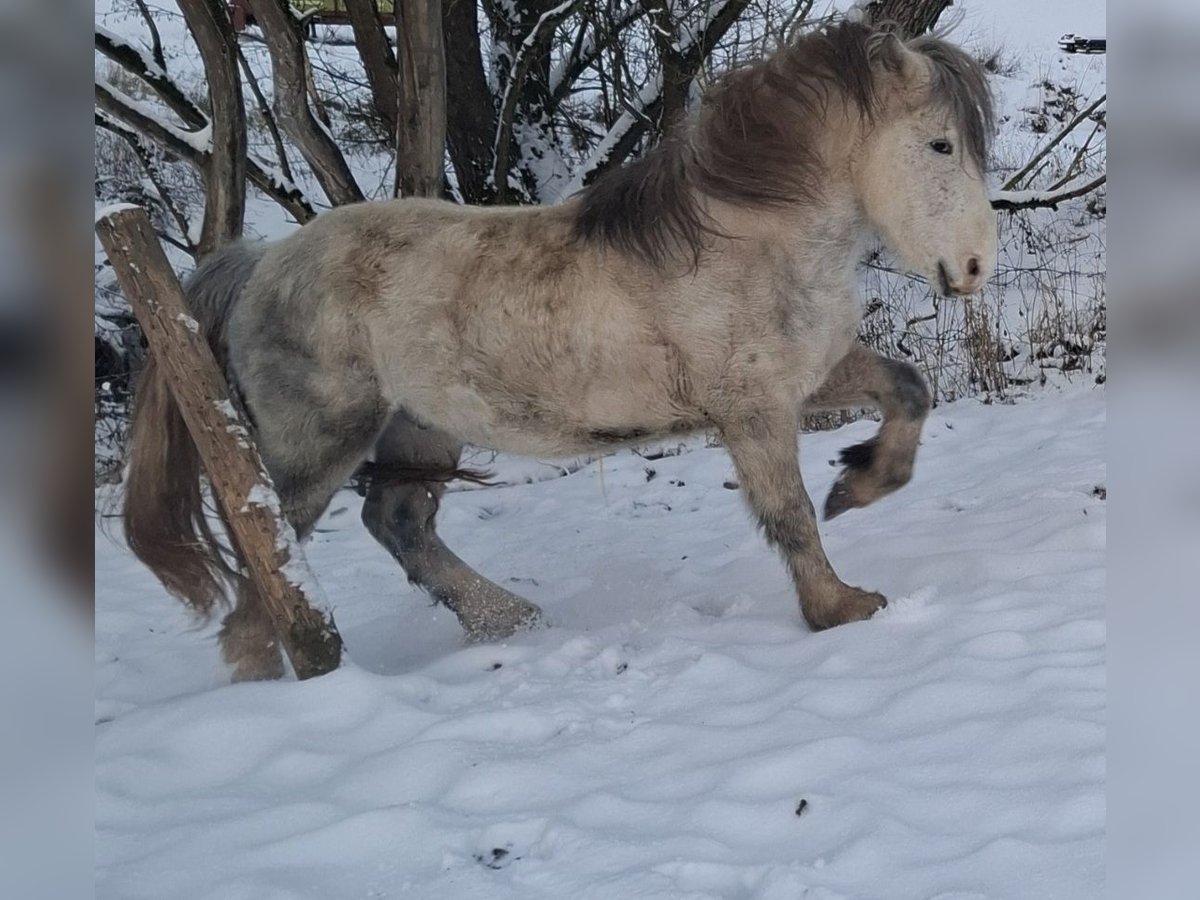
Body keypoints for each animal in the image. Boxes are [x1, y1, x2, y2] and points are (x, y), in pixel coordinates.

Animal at [123, 21, 996, 680]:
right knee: (266, 571)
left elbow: (909, 391)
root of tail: (261, 262)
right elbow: (788, 517)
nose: (975, 267)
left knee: (397, 523)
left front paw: (859, 485)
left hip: (417, 430)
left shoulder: (809, 378)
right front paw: (839, 609)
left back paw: (510, 621)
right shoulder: (753, 411)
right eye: (941, 146)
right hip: (317, 447)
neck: (747, 237)